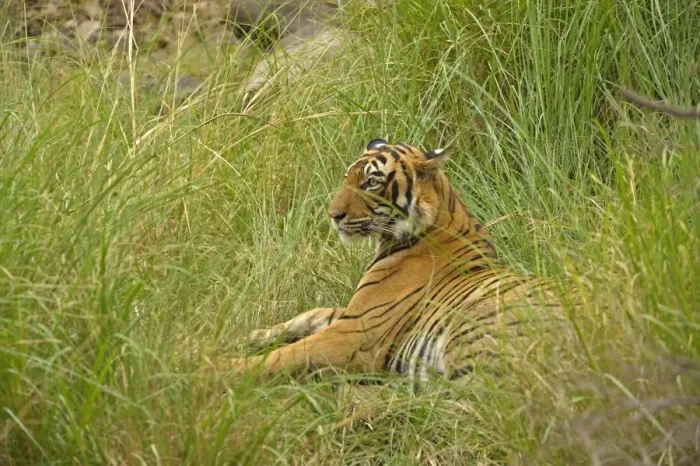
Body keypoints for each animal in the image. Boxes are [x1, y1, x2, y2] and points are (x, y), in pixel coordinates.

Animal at [220, 138, 565, 386]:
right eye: (347, 177)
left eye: (371, 183)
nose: (333, 215)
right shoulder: (354, 312)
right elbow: (312, 314)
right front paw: (254, 336)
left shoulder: (357, 332)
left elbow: (285, 356)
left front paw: (220, 369)